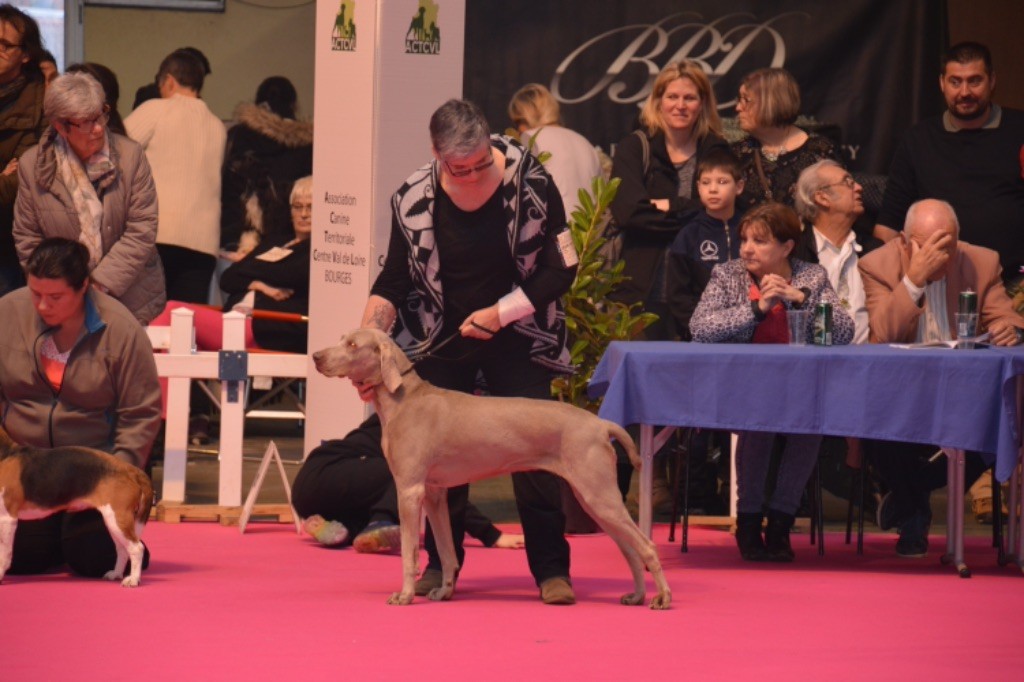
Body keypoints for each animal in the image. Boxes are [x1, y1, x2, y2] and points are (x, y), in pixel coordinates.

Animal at [311, 327, 671, 606]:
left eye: (352, 345)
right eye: (341, 339)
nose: (316, 357)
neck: (404, 399)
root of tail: (600, 423)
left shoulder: (409, 491)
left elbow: (409, 552)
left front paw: (405, 595)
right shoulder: (434, 493)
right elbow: (447, 551)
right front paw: (444, 591)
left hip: (599, 495)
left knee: (648, 546)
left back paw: (662, 598)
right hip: (593, 499)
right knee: (631, 551)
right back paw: (637, 595)